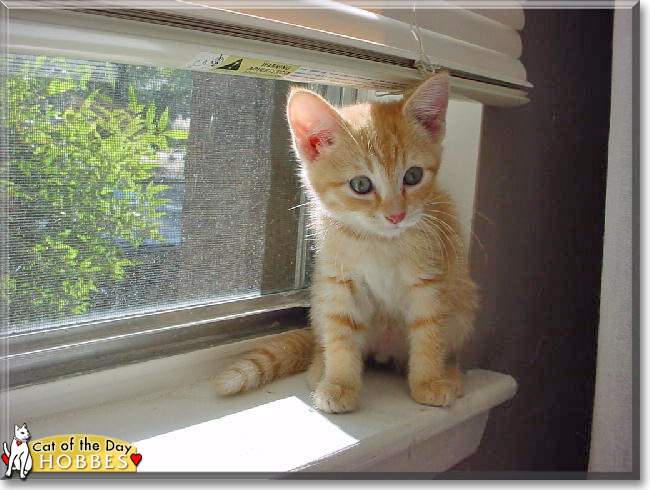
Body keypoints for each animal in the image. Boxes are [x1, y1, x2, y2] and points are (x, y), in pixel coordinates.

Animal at [215, 72, 478, 414]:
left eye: (413, 176)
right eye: (361, 184)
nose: (396, 215)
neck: (379, 242)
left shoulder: (431, 282)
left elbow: (429, 332)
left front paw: (429, 381)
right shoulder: (339, 282)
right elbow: (340, 334)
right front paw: (340, 382)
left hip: (463, 303)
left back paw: (449, 373)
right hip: (321, 298)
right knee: (326, 337)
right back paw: (320, 368)